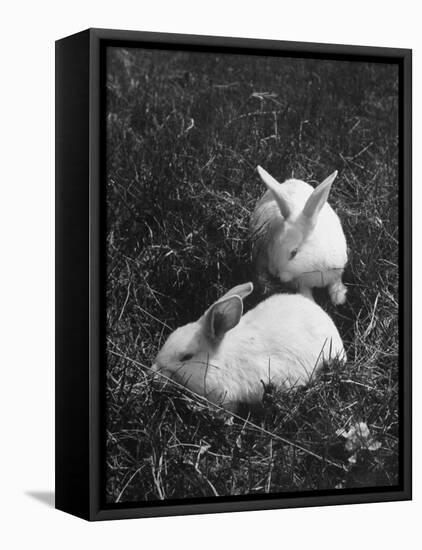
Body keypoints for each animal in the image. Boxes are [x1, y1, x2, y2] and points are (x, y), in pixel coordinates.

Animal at [251, 167, 346, 306]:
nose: (276, 274)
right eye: (274, 243)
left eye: (294, 252)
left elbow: (336, 282)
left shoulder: (337, 271)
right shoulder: (301, 283)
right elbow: (305, 294)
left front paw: (339, 297)